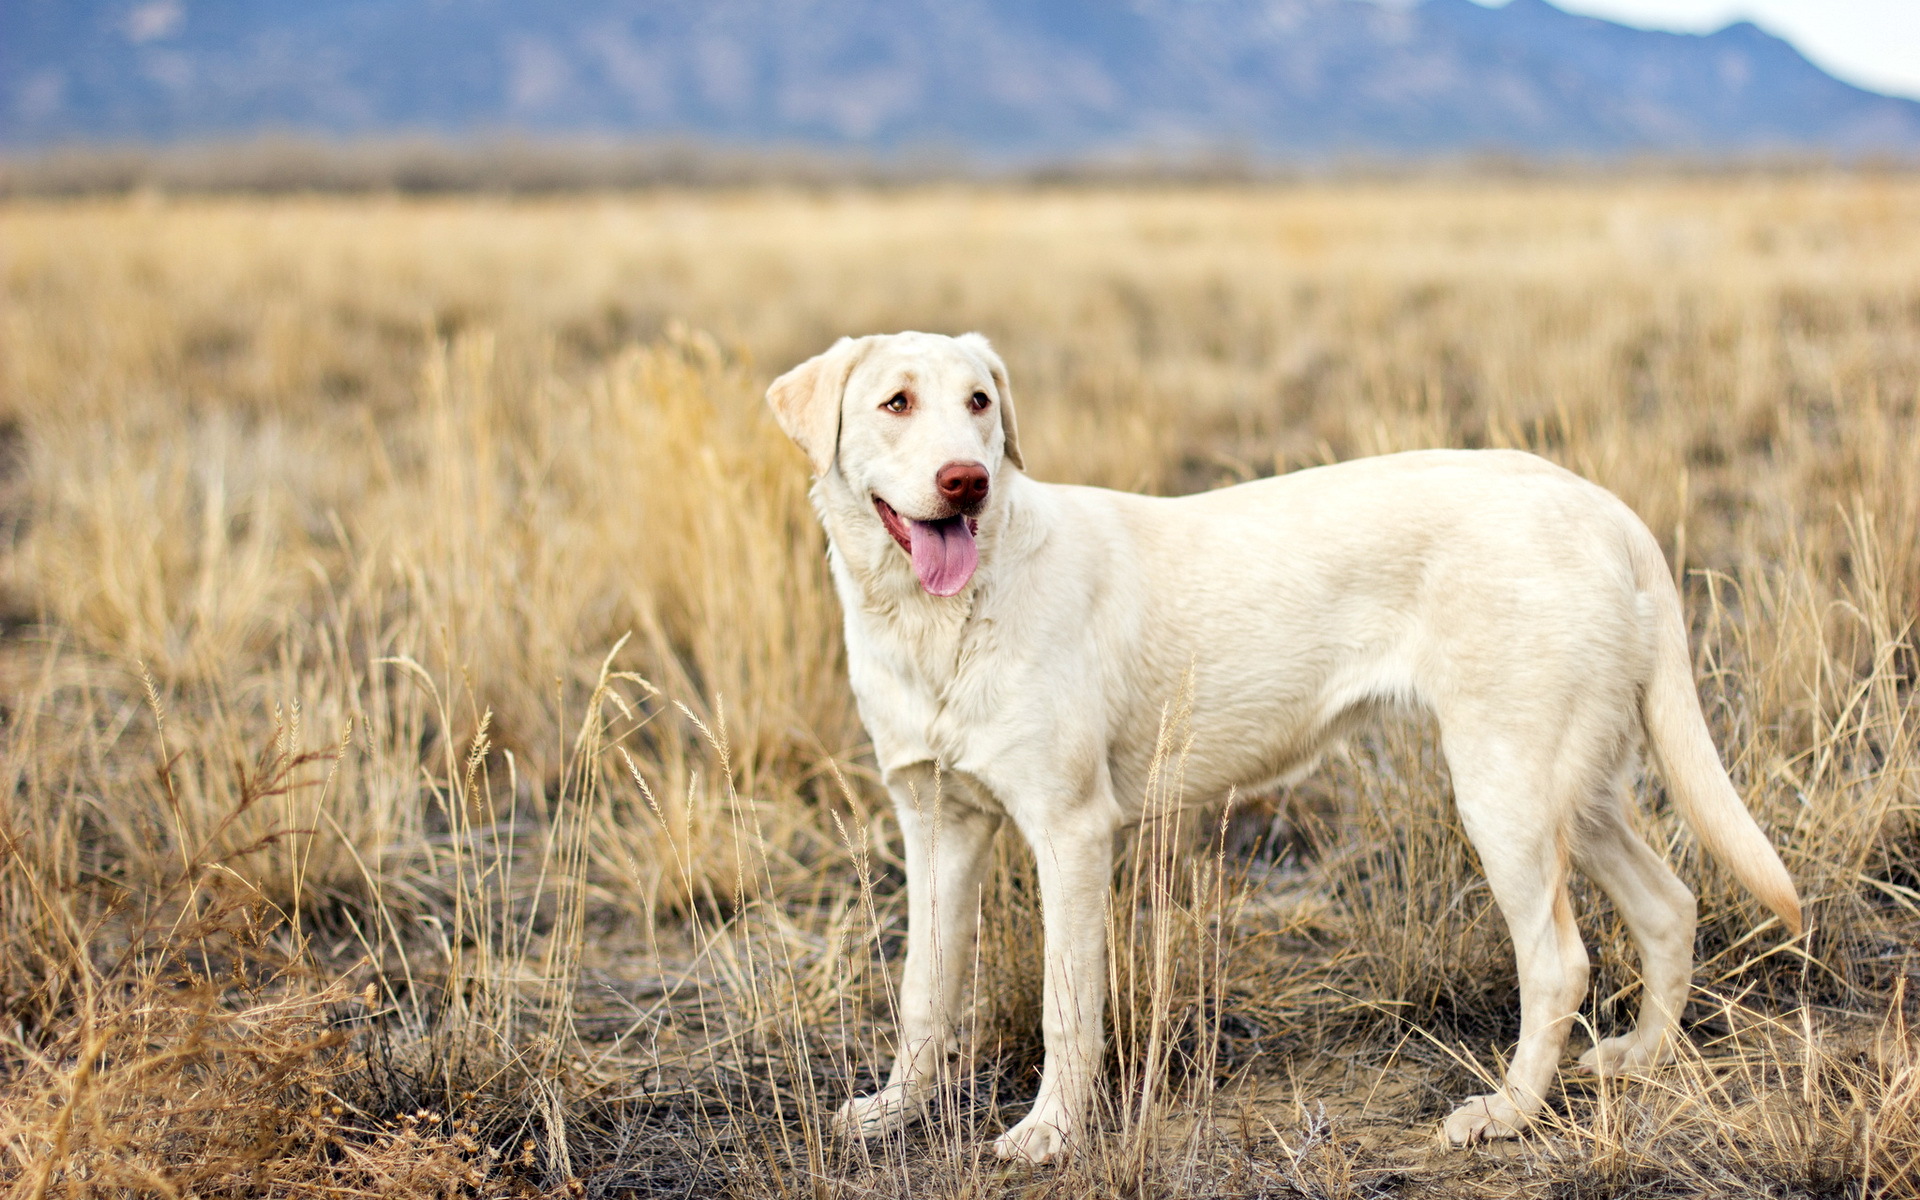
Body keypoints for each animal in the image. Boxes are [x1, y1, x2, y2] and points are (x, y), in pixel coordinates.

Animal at [764, 328, 1797, 1159]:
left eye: (980, 402)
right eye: (896, 402)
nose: (967, 482)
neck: (937, 621)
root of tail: (1595, 502)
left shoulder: (1071, 831)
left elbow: (1067, 1007)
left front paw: (1050, 1134)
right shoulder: (936, 822)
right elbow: (923, 991)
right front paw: (896, 1111)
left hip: (1506, 790)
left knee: (1560, 963)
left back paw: (1504, 1115)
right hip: (1575, 791)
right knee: (1668, 906)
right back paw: (1639, 1059)